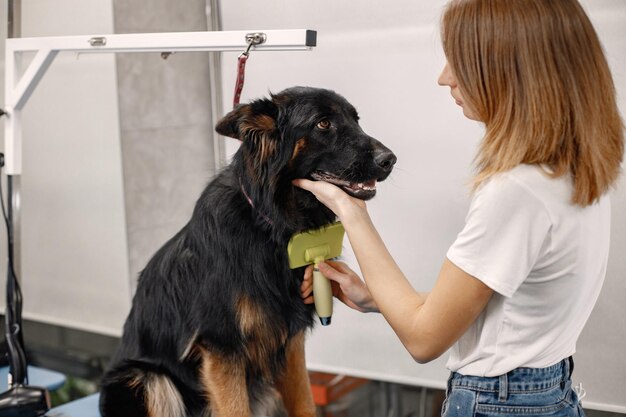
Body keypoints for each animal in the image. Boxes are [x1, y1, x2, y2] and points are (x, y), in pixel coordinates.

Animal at [100, 85, 398, 416]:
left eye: (355, 119)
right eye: (323, 124)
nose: (390, 159)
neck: (270, 224)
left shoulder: (289, 340)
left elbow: (304, 402)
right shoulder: (222, 348)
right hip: (145, 378)